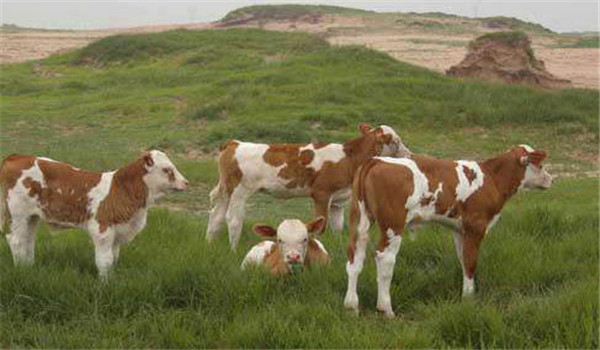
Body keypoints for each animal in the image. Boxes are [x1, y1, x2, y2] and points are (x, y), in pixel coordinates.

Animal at [0, 151, 188, 278]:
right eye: (166, 169)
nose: (186, 182)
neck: (121, 189)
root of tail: (17, 156)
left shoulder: (117, 233)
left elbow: (113, 258)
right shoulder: (102, 229)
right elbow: (104, 260)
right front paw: (105, 284)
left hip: (31, 217)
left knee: (28, 241)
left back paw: (28, 267)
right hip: (17, 214)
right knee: (16, 241)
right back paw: (21, 270)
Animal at [206, 123, 412, 249]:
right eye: (395, 141)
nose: (410, 154)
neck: (350, 158)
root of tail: (234, 143)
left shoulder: (337, 200)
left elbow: (337, 227)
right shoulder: (321, 194)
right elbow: (321, 226)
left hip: (226, 192)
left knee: (216, 217)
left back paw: (210, 245)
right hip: (239, 191)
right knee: (233, 220)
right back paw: (234, 250)